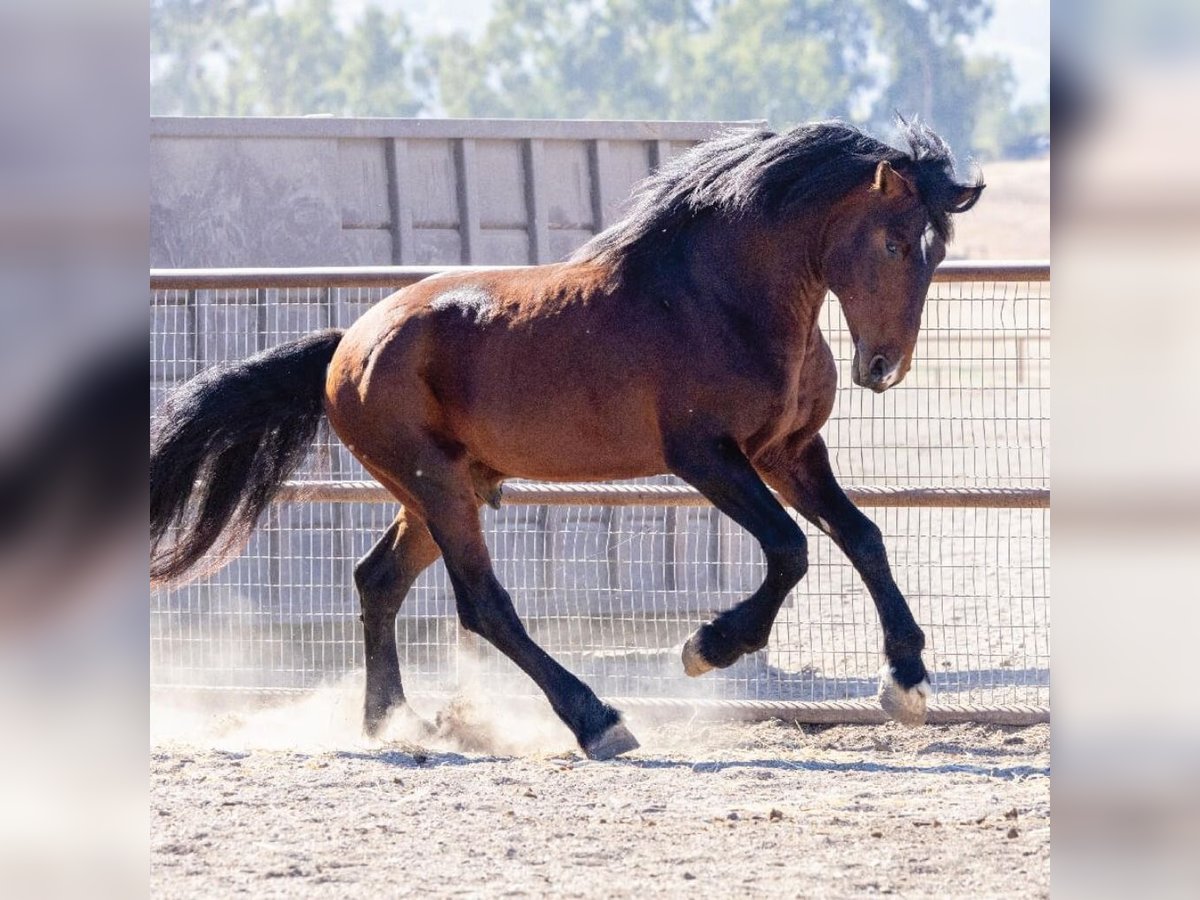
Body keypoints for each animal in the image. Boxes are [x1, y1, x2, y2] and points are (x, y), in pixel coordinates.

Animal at [152, 120, 984, 763]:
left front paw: (907, 682)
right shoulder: (706, 457)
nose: (882, 368)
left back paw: (392, 723)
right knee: (483, 605)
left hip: (440, 488)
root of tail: (345, 347)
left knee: (378, 581)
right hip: (437, 487)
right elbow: (791, 549)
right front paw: (706, 647)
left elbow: (863, 536)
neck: (722, 299)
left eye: (938, 252)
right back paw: (598, 722)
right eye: (892, 243)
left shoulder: (791, 453)